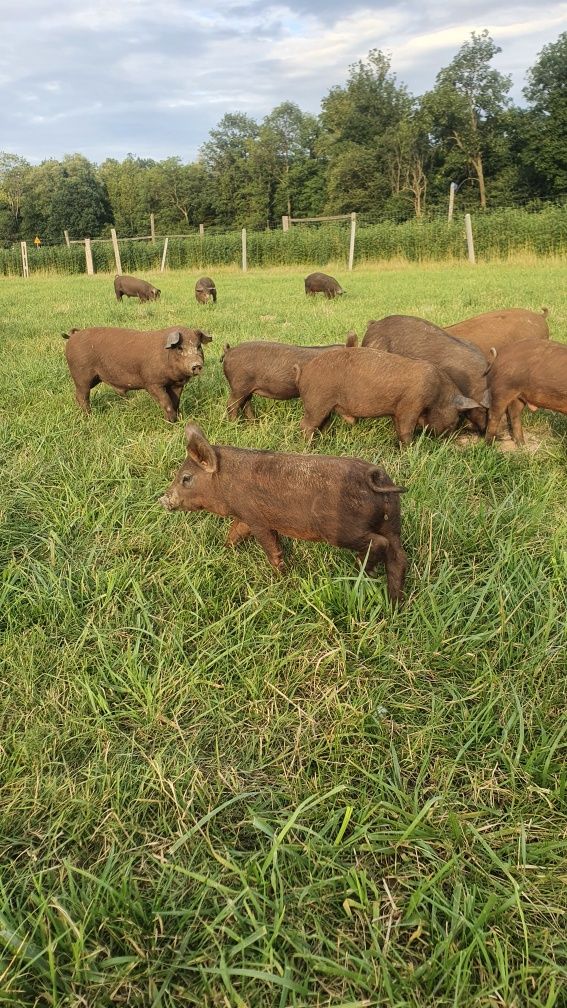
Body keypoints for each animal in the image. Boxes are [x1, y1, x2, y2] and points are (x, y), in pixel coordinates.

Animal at [61, 322, 210, 417]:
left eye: (198, 346)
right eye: (180, 348)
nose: (196, 364)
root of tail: (73, 336)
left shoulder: (177, 384)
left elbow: (175, 402)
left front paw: (178, 420)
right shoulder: (152, 383)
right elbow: (166, 403)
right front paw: (171, 422)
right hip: (81, 375)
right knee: (82, 396)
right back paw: (89, 416)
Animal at [219, 332, 355, 419]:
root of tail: (229, 350)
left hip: (246, 388)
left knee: (246, 404)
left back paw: (254, 423)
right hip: (239, 385)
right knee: (232, 405)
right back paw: (234, 424)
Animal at [292, 346, 478, 445]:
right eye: (455, 420)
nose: (448, 440)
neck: (439, 395)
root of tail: (303, 371)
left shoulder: (397, 409)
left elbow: (398, 427)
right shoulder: (411, 403)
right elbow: (406, 428)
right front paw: (410, 448)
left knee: (322, 423)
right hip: (317, 401)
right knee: (306, 424)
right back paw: (310, 445)